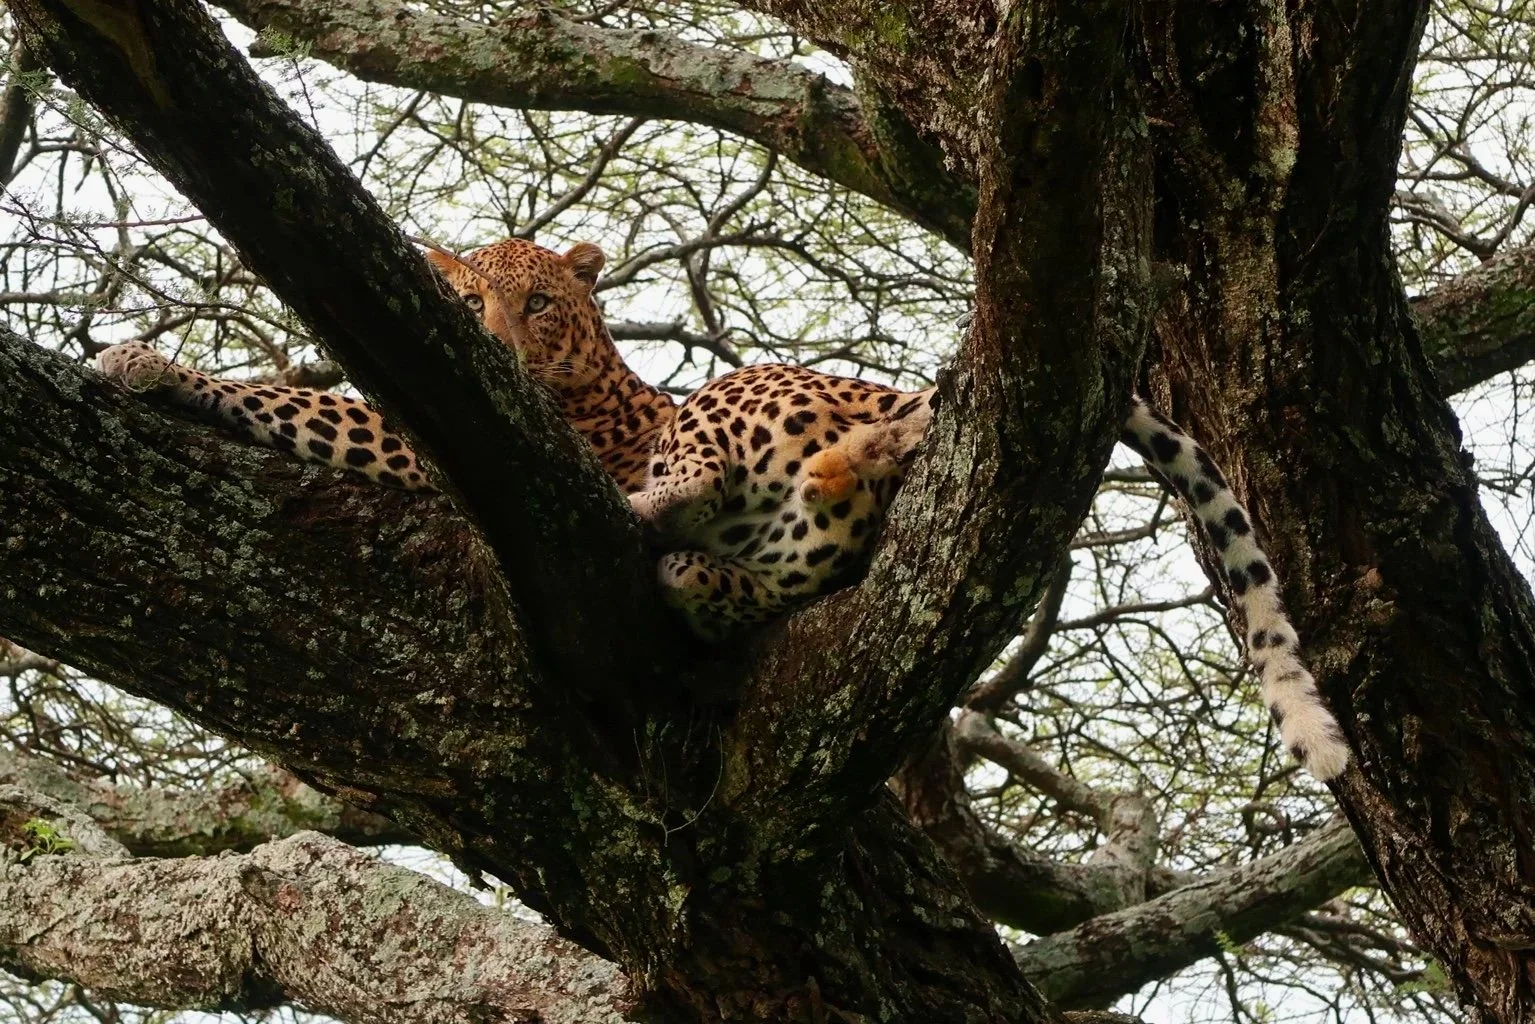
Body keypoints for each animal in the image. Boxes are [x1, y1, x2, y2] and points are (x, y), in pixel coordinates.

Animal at [95, 240, 1348, 780]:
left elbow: (286, 398)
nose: (491, 341)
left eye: (535, 302)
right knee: (768, 555)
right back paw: (707, 563)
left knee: (701, 474)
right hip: (802, 531)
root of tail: (871, 393)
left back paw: (659, 506)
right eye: (467, 295)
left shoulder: (407, 430)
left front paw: (144, 363)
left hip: (732, 399)